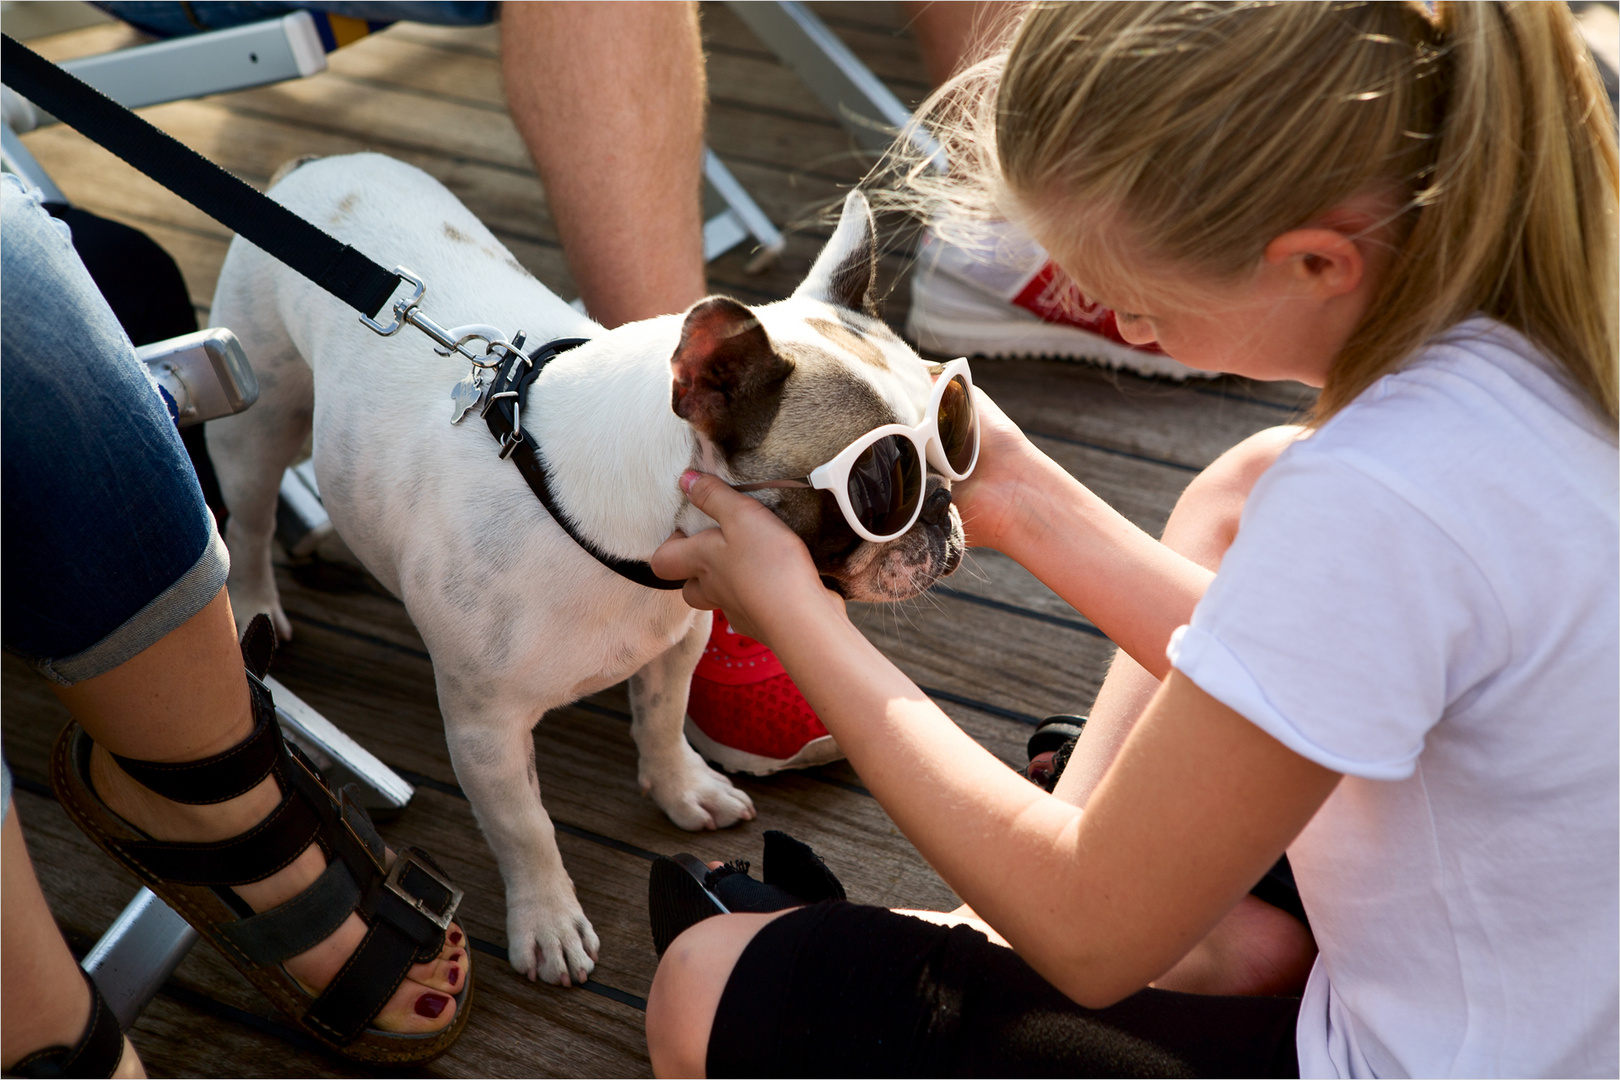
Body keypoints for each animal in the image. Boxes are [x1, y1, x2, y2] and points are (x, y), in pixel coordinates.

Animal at [202, 153, 959, 990]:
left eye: (952, 432)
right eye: (882, 481)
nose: (947, 507)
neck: (611, 537)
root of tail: (315, 164)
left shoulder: (678, 641)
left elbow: (661, 722)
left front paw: (682, 790)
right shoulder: (487, 731)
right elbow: (524, 826)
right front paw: (547, 922)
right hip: (257, 418)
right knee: (251, 518)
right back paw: (256, 606)